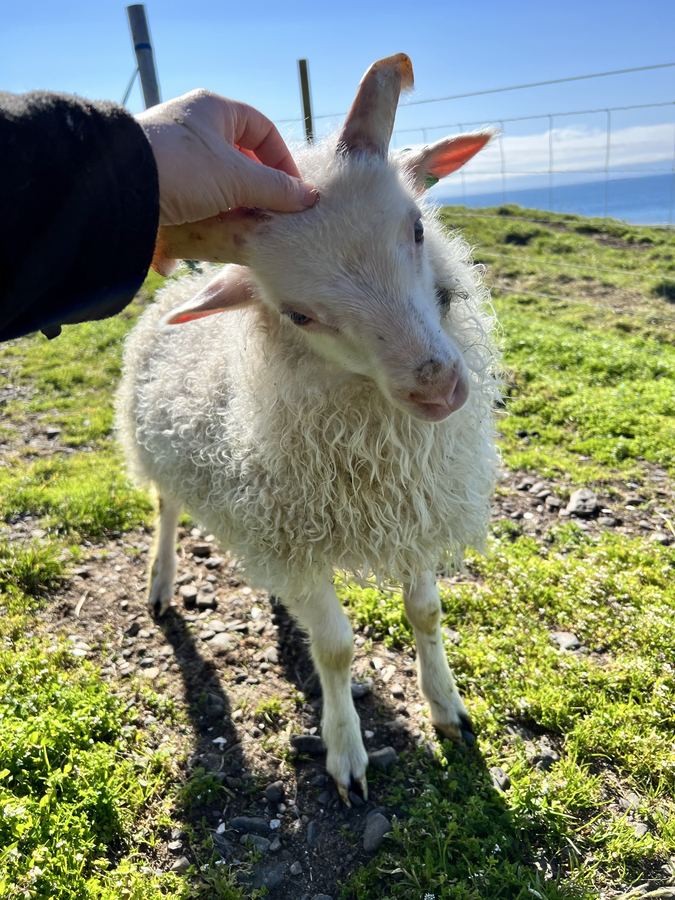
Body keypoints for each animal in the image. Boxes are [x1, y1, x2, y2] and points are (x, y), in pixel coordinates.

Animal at [116, 53, 501, 803]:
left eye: (416, 229)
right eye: (298, 314)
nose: (437, 387)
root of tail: (193, 284)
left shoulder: (413, 504)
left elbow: (425, 614)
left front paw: (447, 708)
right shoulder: (300, 539)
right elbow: (336, 648)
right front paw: (345, 752)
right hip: (165, 457)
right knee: (167, 509)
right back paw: (161, 581)